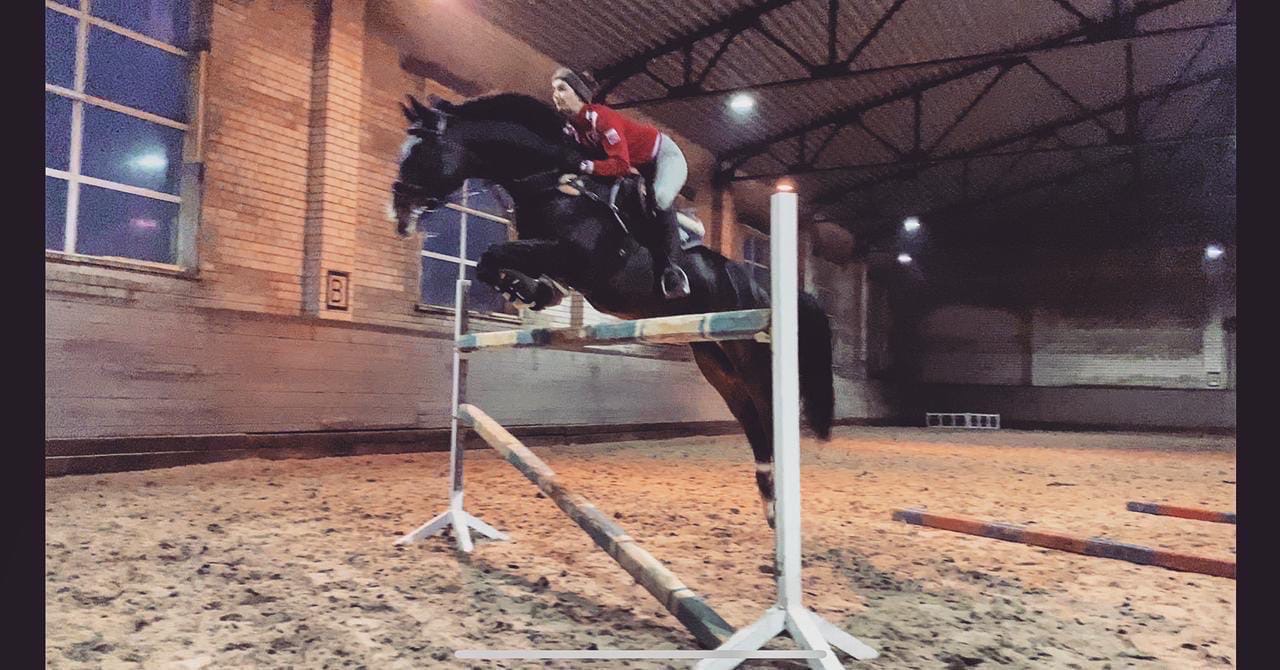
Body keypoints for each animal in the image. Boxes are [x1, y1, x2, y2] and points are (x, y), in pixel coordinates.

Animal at [390, 93, 834, 527]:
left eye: (419, 152)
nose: (398, 214)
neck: (552, 184)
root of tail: (760, 288)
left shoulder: (578, 258)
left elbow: (493, 254)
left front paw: (524, 287)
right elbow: (491, 262)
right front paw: (528, 289)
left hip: (748, 350)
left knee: (768, 406)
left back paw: (779, 499)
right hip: (714, 360)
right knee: (748, 414)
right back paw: (769, 497)